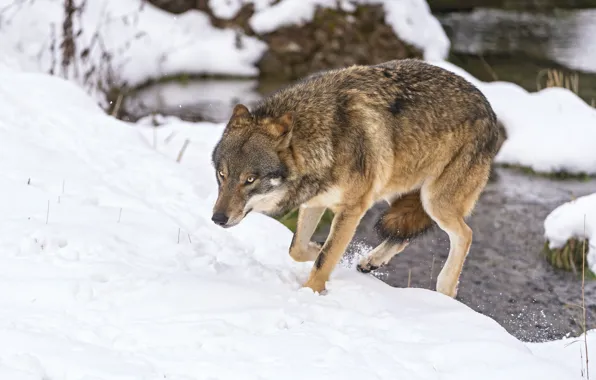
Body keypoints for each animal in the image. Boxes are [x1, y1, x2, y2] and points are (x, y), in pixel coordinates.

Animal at [208, 58, 498, 298]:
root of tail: (488, 106)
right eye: (222, 175)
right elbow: (298, 249)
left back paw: (445, 289)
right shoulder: (315, 201)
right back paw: (372, 261)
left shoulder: (353, 207)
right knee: (405, 230)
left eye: (250, 179)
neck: (325, 137)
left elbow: (324, 259)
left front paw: (309, 294)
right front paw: (320, 248)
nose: (217, 219)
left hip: (434, 201)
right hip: (394, 189)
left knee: (465, 234)